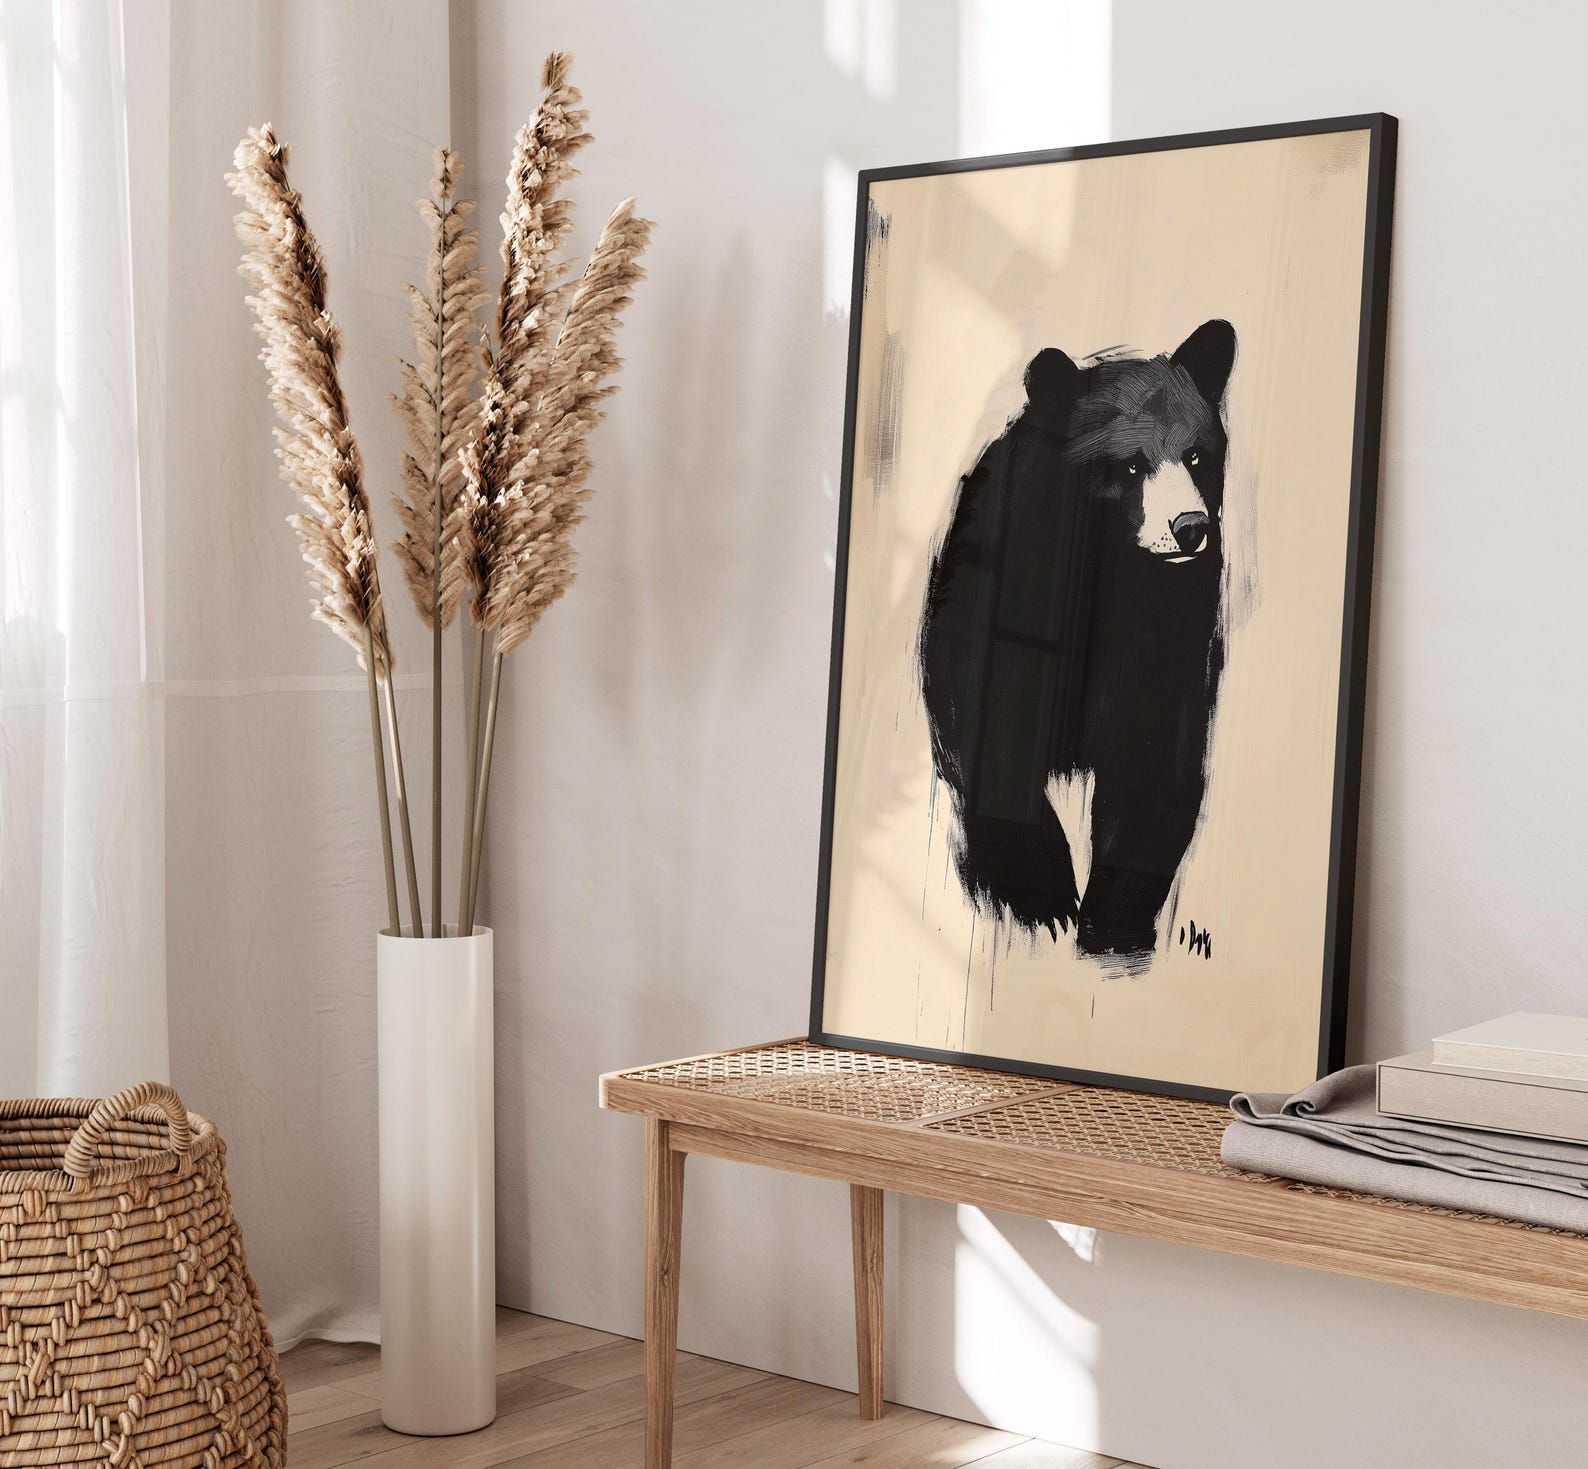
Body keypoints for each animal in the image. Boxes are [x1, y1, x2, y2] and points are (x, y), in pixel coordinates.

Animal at [918, 319, 1237, 959]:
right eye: (1131, 466)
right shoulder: (1019, 598)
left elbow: (1154, 767)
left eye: (1196, 454)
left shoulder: (1175, 634)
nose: (1190, 529)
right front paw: (1043, 903)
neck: (1114, 581)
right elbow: (1002, 744)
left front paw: (1110, 929)